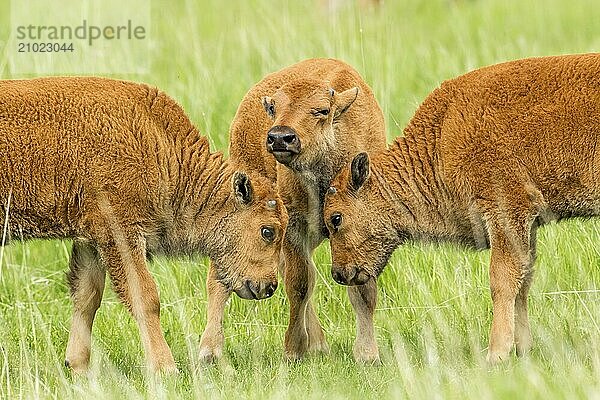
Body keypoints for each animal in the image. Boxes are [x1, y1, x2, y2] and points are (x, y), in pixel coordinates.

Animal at [0, 77, 288, 372]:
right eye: (268, 231)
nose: (268, 287)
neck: (158, 144)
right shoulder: (120, 232)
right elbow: (145, 297)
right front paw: (165, 367)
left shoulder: (91, 238)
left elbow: (87, 296)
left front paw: (78, 365)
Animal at [224, 57, 384, 360]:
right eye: (274, 108)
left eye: (321, 110)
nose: (279, 138)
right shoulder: (293, 228)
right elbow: (299, 283)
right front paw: (294, 350)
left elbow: (363, 288)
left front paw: (367, 354)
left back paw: (320, 344)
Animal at [326, 53, 600, 362]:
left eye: (336, 218)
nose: (338, 274)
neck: (443, 135)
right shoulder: (526, 226)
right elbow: (523, 281)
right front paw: (523, 349)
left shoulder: (505, 213)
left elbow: (502, 281)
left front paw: (496, 354)